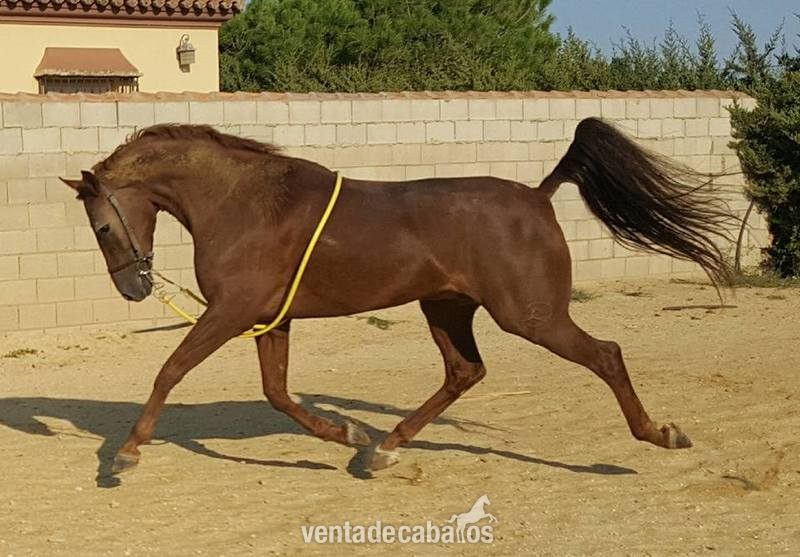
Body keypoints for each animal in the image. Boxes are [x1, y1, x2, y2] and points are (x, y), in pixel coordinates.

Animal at [59, 118, 733, 475]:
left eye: (101, 226)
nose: (134, 288)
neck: (246, 204)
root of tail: (538, 196)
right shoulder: (268, 319)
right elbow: (277, 393)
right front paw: (348, 435)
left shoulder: (229, 313)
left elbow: (170, 369)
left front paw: (125, 454)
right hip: (446, 307)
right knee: (464, 372)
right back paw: (382, 449)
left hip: (530, 314)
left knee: (606, 355)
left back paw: (660, 434)